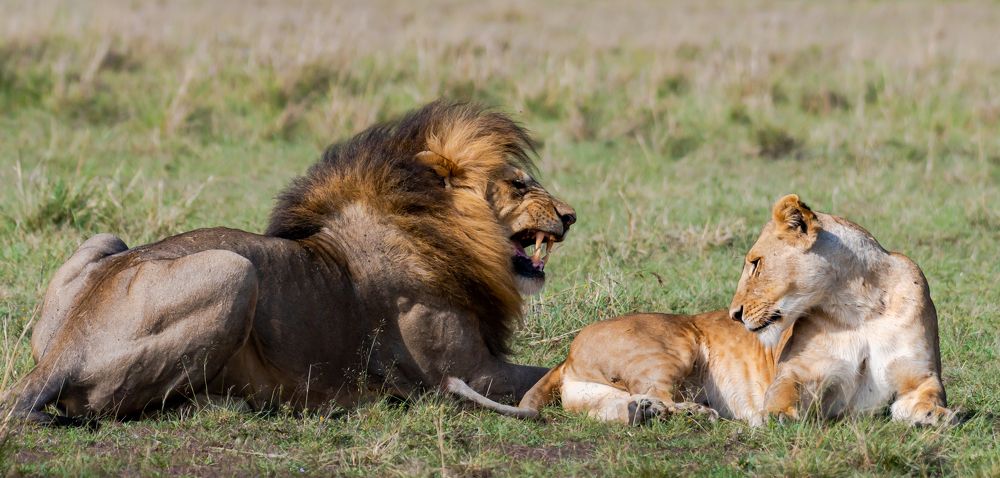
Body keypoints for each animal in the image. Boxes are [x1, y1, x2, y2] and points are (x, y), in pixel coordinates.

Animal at [5, 101, 577, 423]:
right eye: (518, 185)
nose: (571, 216)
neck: (441, 231)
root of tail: (66, 348)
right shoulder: (468, 370)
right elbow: (545, 370)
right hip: (234, 271)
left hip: (104, 239)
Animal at [478, 194, 952, 426]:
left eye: (756, 262)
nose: (735, 315)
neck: (857, 307)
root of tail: (567, 353)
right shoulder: (795, 375)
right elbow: (782, 397)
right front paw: (774, 419)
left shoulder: (921, 375)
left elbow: (926, 397)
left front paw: (936, 416)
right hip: (673, 348)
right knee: (659, 393)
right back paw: (694, 414)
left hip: (597, 393)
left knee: (617, 409)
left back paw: (642, 414)